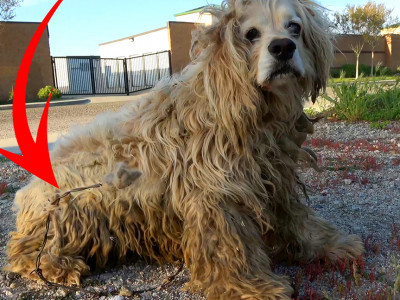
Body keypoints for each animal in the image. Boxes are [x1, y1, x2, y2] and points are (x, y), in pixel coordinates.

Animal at [4, 0, 364, 298]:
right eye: (251, 34)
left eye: (295, 28)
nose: (283, 47)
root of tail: (26, 191)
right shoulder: (216, 193)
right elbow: (230, 244)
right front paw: (251, 286)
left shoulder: (272, 176)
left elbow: (296, 218)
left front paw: (330, 244)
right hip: (76, 210)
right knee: (24, 250)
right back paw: (57, 265)